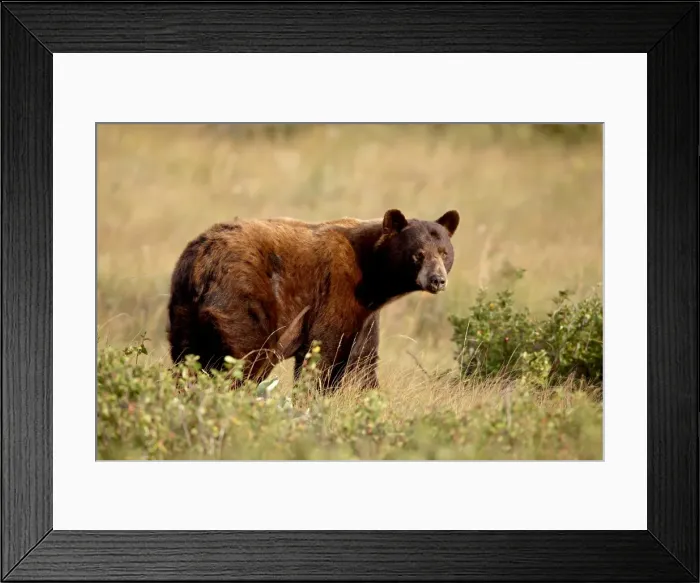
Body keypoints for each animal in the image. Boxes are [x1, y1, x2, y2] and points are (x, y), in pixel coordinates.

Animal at [166, 208, 460, 391]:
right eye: (418, 254)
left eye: (444, 252)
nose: (437, 280)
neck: (373, 277)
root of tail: (204, 260)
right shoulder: (337, 291)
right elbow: (325, 352)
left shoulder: (366, 314)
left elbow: (363, 363)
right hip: (245, 296)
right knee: (247, 358)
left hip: (183, 308)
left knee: (188, 360)